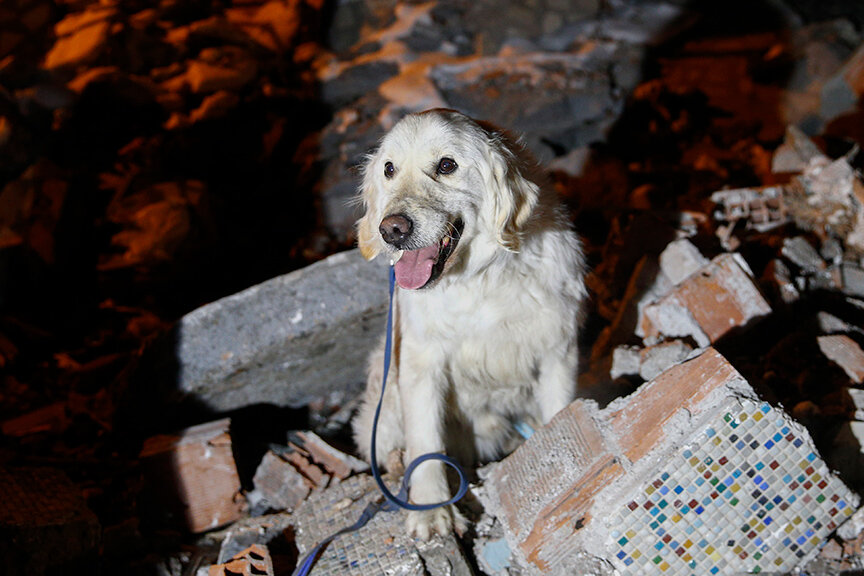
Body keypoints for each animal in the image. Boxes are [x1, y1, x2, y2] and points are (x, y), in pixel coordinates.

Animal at [352, 109, 588, 540]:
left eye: (447, 165)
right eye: (389, 169)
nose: (391, 229)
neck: (481, 278)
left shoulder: (558, 350)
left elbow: (559, 409)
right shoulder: (421, 364)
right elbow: (425, 442)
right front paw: (430, 510)